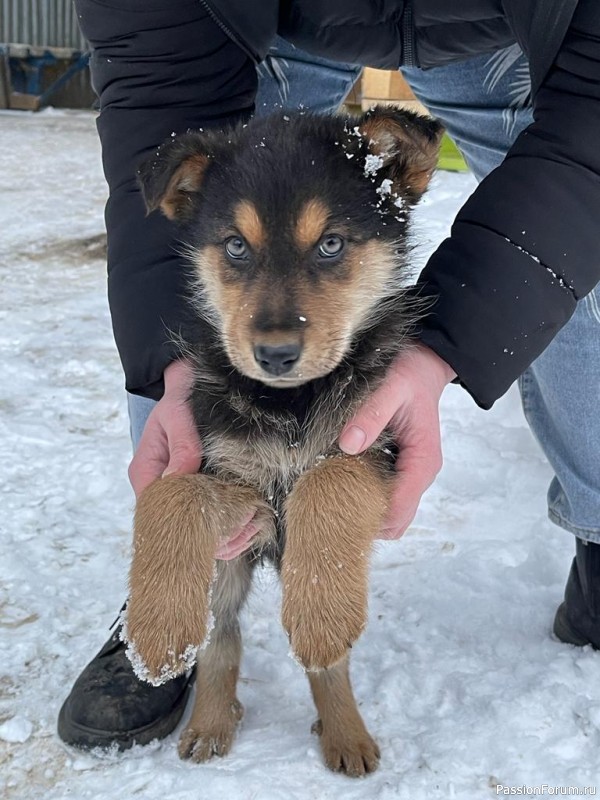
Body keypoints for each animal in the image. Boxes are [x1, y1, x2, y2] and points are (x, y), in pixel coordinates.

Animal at [126, 106, 442, 776]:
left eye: (331, 244)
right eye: (236, 247)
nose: (274, 355)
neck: (291, 405)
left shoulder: (375, 444)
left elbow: (329, 478)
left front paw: (320, 615)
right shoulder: (225, 469)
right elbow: (170, 495)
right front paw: (156, 632)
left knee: (327, 664)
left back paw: (345, 731)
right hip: (224, 570)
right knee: (220, 639)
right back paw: (210, 723)